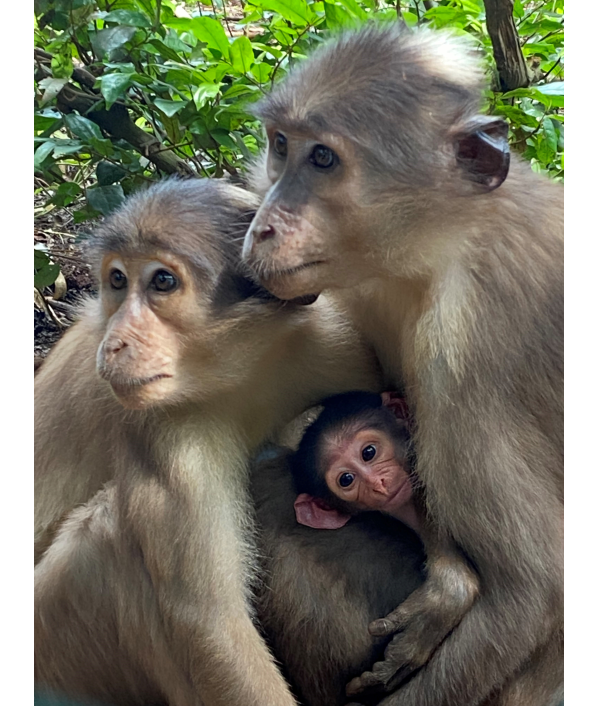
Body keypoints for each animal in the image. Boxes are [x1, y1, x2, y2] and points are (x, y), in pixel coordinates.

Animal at [34, 178, 383, 706]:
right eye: (117, 280)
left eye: (161, 282)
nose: (114, 344)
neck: (234, 377)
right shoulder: (162, 428)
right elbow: (210, 626)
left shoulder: (322, 341)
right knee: (109, 534)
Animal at [242, 24, 564, 706]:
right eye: (280, 145)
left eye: (323, 159)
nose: (262, 226)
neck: (446, 246)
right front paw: (448, 583)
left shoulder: (468, 346)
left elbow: (532, 590)